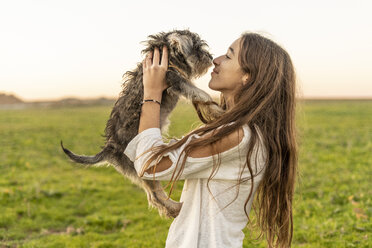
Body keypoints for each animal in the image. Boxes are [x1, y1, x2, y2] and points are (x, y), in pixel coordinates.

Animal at [60, 30, 222, 218]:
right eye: (197, 47)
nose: (210, 57)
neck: (169, 56)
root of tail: (109, 149)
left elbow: (199, 96)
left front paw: (214, 110)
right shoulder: (176, 80)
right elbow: (201, 93)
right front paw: (218, 108)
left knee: (153, 196)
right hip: (144, 167)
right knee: (155, 196)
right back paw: (175, 208)